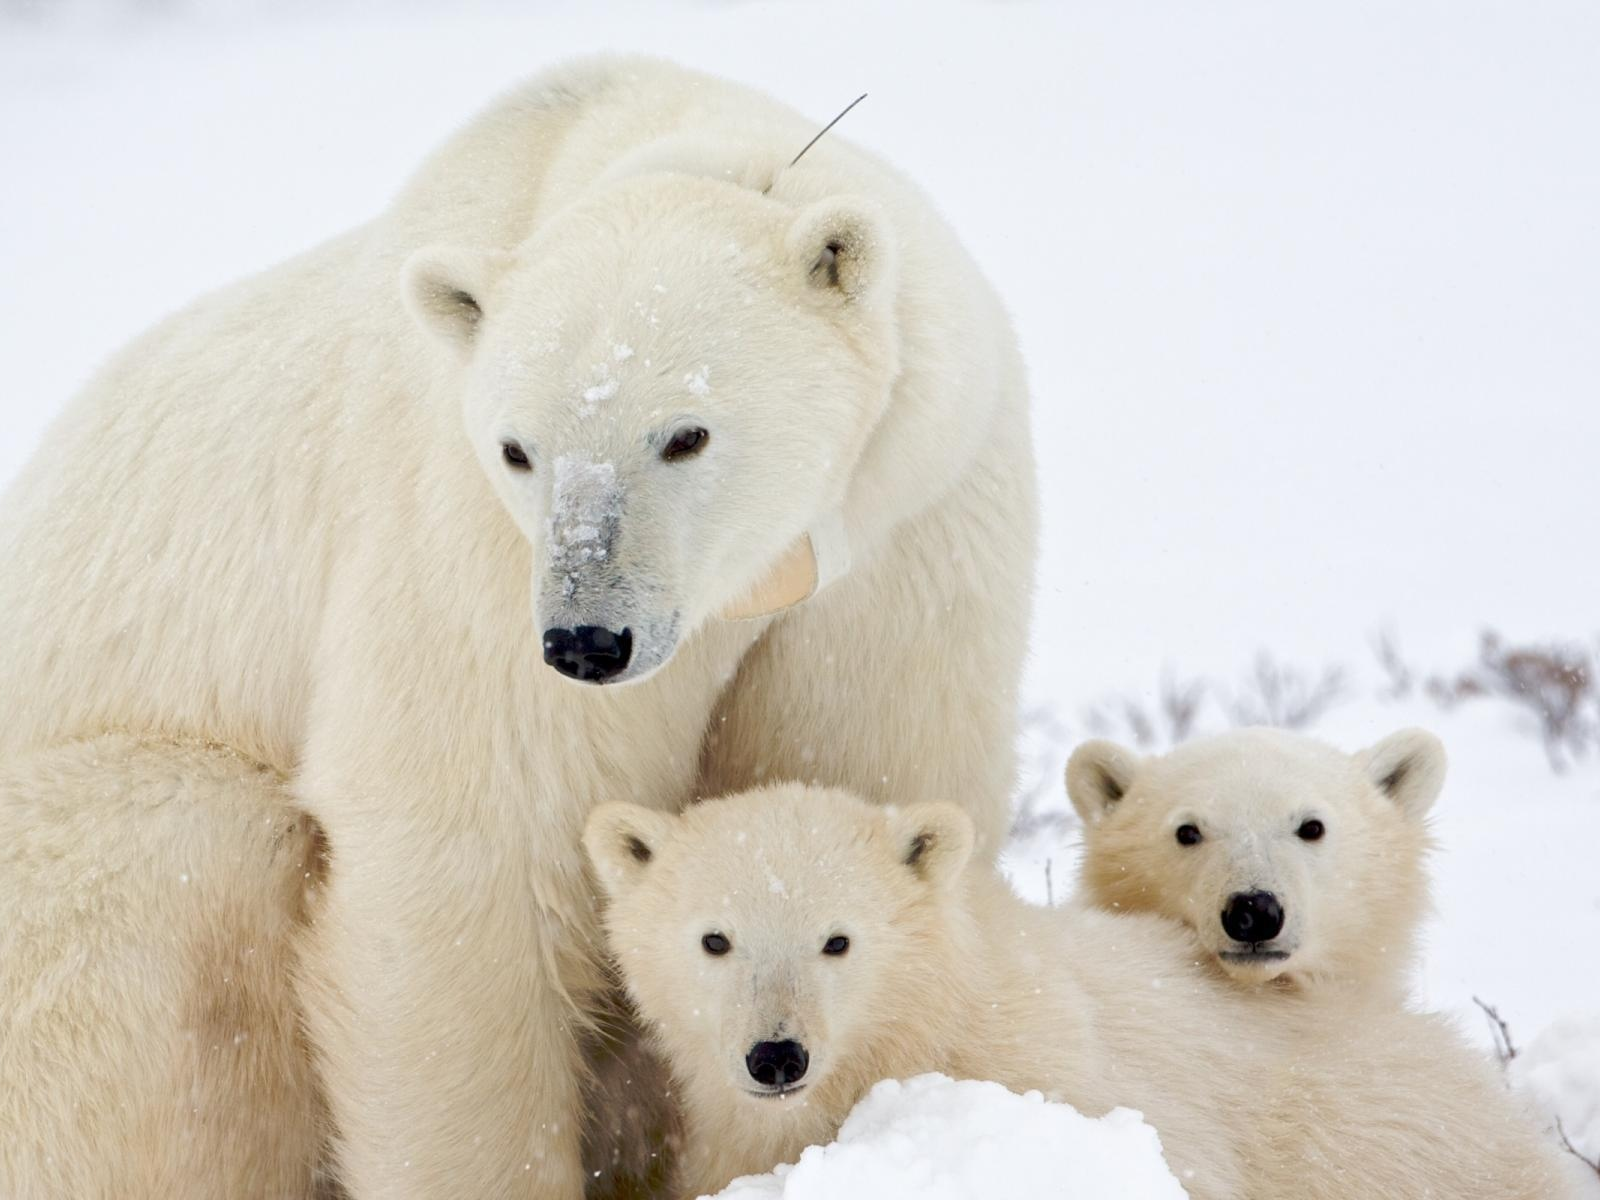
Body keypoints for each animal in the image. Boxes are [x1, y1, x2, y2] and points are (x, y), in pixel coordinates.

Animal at [0, 54, 1036, 1196]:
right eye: (517, 448)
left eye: (685, 433)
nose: (586, 642)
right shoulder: (465, 544)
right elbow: (471, 847)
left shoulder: (906, 533)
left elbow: (862, 770)